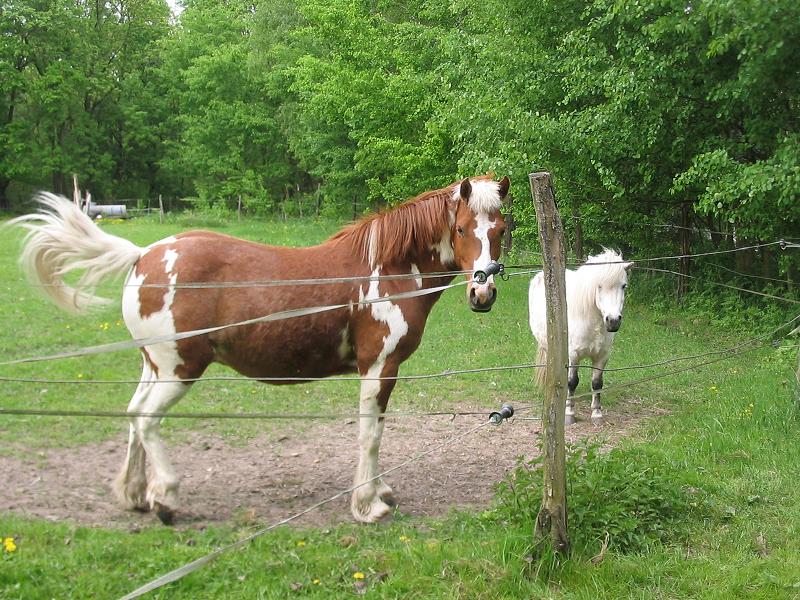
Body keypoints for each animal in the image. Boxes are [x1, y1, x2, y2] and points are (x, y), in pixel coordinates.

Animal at [14, 176, 506, 524]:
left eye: (502, 228)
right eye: (461, 228)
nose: (483, 292)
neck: (386, 269)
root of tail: (143, 255)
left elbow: (376, 433)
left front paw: (379, 492)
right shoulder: (378, 368)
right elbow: (370, 435)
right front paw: (368, 505)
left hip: (154, 366)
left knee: (134, 416)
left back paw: (135, 495)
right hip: (179, 370)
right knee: (146, 419)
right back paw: (166, 498)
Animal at [528, 247, 636, 422]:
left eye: (623, 286)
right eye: (599, 286)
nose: (613, 320)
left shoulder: (602, 356)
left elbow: (597, 383)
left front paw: (597, 413)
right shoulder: (574, 355)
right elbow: (572, 381)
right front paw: (569, 413)